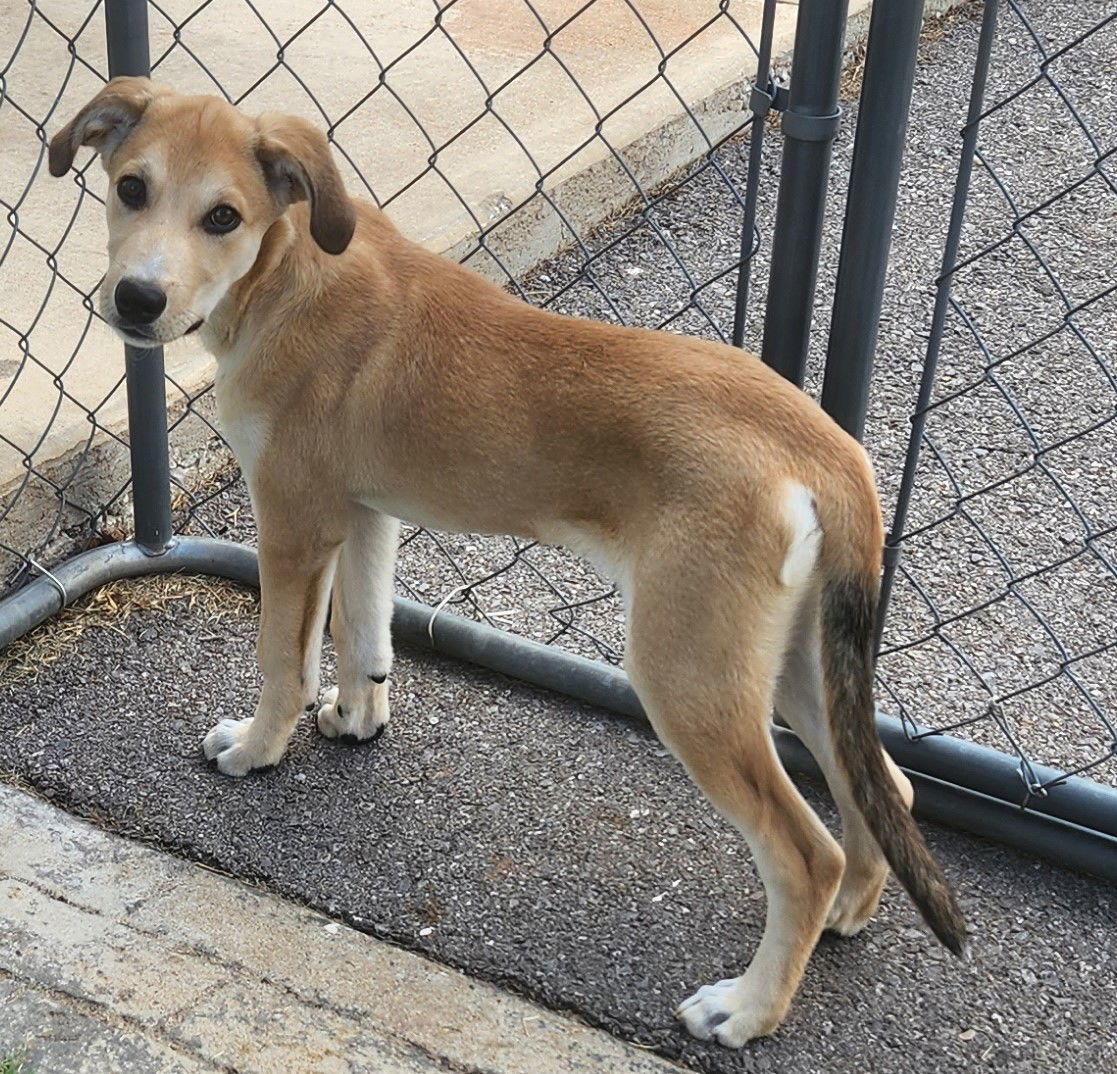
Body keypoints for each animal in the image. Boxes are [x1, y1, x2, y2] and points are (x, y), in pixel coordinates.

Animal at [48, 77, 965, 1044]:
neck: (290, 272)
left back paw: (748, 1008)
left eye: (222, 216)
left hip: (689, 672)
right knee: (886, 788)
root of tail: (826, 450)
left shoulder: (294, 523)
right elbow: (362, 635)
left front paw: (258, 750)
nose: (137, 300)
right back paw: (850, 911)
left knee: (802, 851)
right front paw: (357, 719)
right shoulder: (363, 515)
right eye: (132, 188)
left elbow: (281, 663)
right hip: (787, 662)